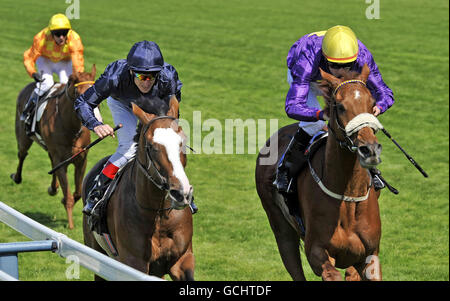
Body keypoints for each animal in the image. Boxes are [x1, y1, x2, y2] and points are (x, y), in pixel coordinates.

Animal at [11, 65, 96, 229]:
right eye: (78, 92)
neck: (71, 127)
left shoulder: (81, 160)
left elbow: (77, 193)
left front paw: (61, 196)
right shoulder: (61, 159)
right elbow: (68, 194)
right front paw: (70, 225)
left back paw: (53, 188)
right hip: (23, 136)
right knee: (22, 154)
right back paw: (17, 177)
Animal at [81, 97, 194, 280]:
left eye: (183, 142)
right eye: (152, 146)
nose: (181, 193)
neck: (158, 214)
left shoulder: (182, 260)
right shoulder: (134, 263)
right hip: (96, 253)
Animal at [256, 64, 384, 280]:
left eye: (372, 103)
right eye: (340, 106)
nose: (370, 149)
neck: (348, 194)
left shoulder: (370, 255)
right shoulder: (317, 253)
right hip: (281, 229)